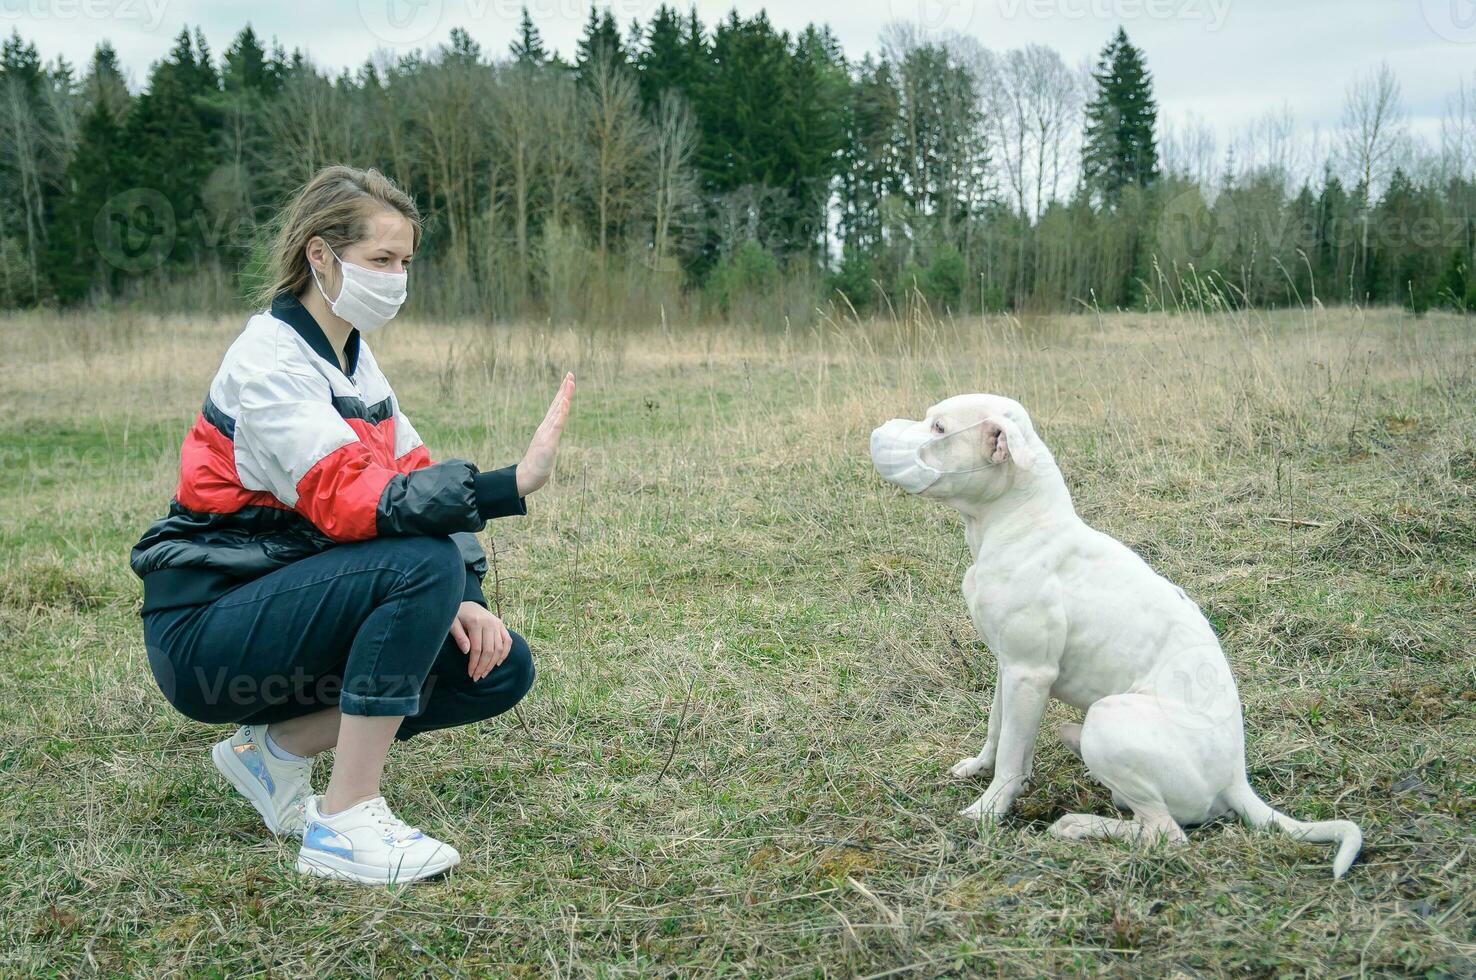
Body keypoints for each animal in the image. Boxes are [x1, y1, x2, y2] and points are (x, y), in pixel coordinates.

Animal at [867, 395, 1363, 873]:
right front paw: (980, 767)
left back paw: (1079, 825)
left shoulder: (1029, 672)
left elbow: (1010, 755)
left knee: (1166, 833)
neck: (1021, 523)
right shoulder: (1009, 667)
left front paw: (989, 809)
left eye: (939, 428)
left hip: (1109, 719)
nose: (876, 432)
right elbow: (999, 730)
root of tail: (1235, 779)